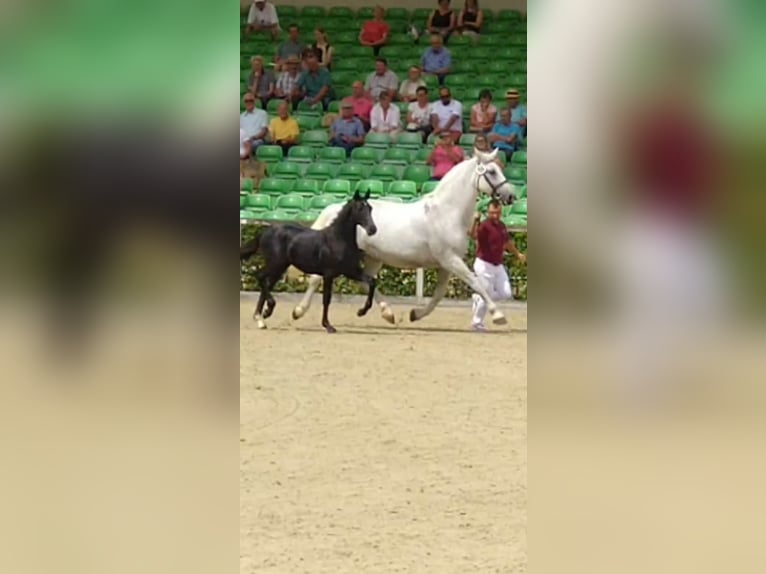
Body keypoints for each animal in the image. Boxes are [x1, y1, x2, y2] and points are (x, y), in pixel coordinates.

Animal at [240, 191, 378, 332]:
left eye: (370, 208)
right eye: (359, 208)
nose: (372, 229)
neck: (337, 239)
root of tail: (265, 232)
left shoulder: (350, 271)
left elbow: (372, 282)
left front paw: (361, 312)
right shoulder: (329, 273)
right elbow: (326, 299)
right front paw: (328, 326)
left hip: (279, 267)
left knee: (265, 285)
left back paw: (262, 319)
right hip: (275, 264)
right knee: (260, 276)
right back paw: (267, 311)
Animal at [292, 148, 520, 326]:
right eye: (492, 171)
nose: (511, 195)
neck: (445, 213)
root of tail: (333, 209)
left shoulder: (447, 263)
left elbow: (439, 294)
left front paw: (415, 314)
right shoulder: (450, 259)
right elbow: (476, 283)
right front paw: (499, 315)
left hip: (373, 257)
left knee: (366, 282)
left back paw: (389, 314)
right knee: (317, 279)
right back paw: (298, 311)